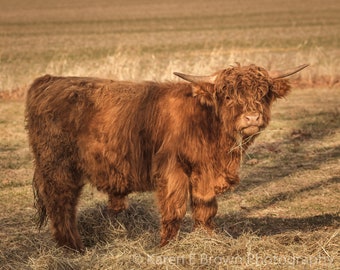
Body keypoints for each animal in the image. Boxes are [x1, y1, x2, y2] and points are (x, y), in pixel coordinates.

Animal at [25, 62, 308, 251]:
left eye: (263, 93)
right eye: (228, 96)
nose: (252, 118)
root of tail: (48, 80)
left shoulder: (204, 171)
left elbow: (206, 209)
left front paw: (208, 239)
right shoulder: (173, 170)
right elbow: (174, 210)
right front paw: (166, 247)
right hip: (58, 167)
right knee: (61, 205)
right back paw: (74, 248)